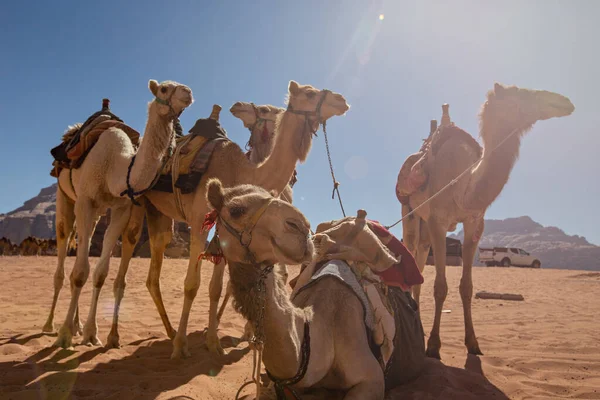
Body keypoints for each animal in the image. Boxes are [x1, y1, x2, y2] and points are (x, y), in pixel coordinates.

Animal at [51, 79, 195, 348]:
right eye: (164, 88)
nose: (188, 92)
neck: (116, 167)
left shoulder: (120, 208)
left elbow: (99, 273)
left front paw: (91, 333)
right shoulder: (86, 200)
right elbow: (80, 273)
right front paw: (64, 335)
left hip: (97, 212)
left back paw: (77, 326)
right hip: (65, 196)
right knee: (64, 247)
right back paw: (50, 325)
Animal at [141, 82, 350, 360]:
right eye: (309, 93)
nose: (341, 100)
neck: (242, 171)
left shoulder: (225, 229)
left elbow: (216, 287)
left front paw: (213, 342)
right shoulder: (200, 220)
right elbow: (192, 284)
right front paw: (181, 347)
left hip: (160, 214)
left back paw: (168, 330)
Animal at [396, 82, 576, 360]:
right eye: (521, 94)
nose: (565, 101)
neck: (462, 185)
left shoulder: (474, 224)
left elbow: (467, 287)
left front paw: (473, 343)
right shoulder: (438, 221)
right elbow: (440, 286)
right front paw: (434, 346)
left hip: (424, 226)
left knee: (420, 259)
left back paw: (421, 327)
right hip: (410, 211)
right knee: (412, 247)